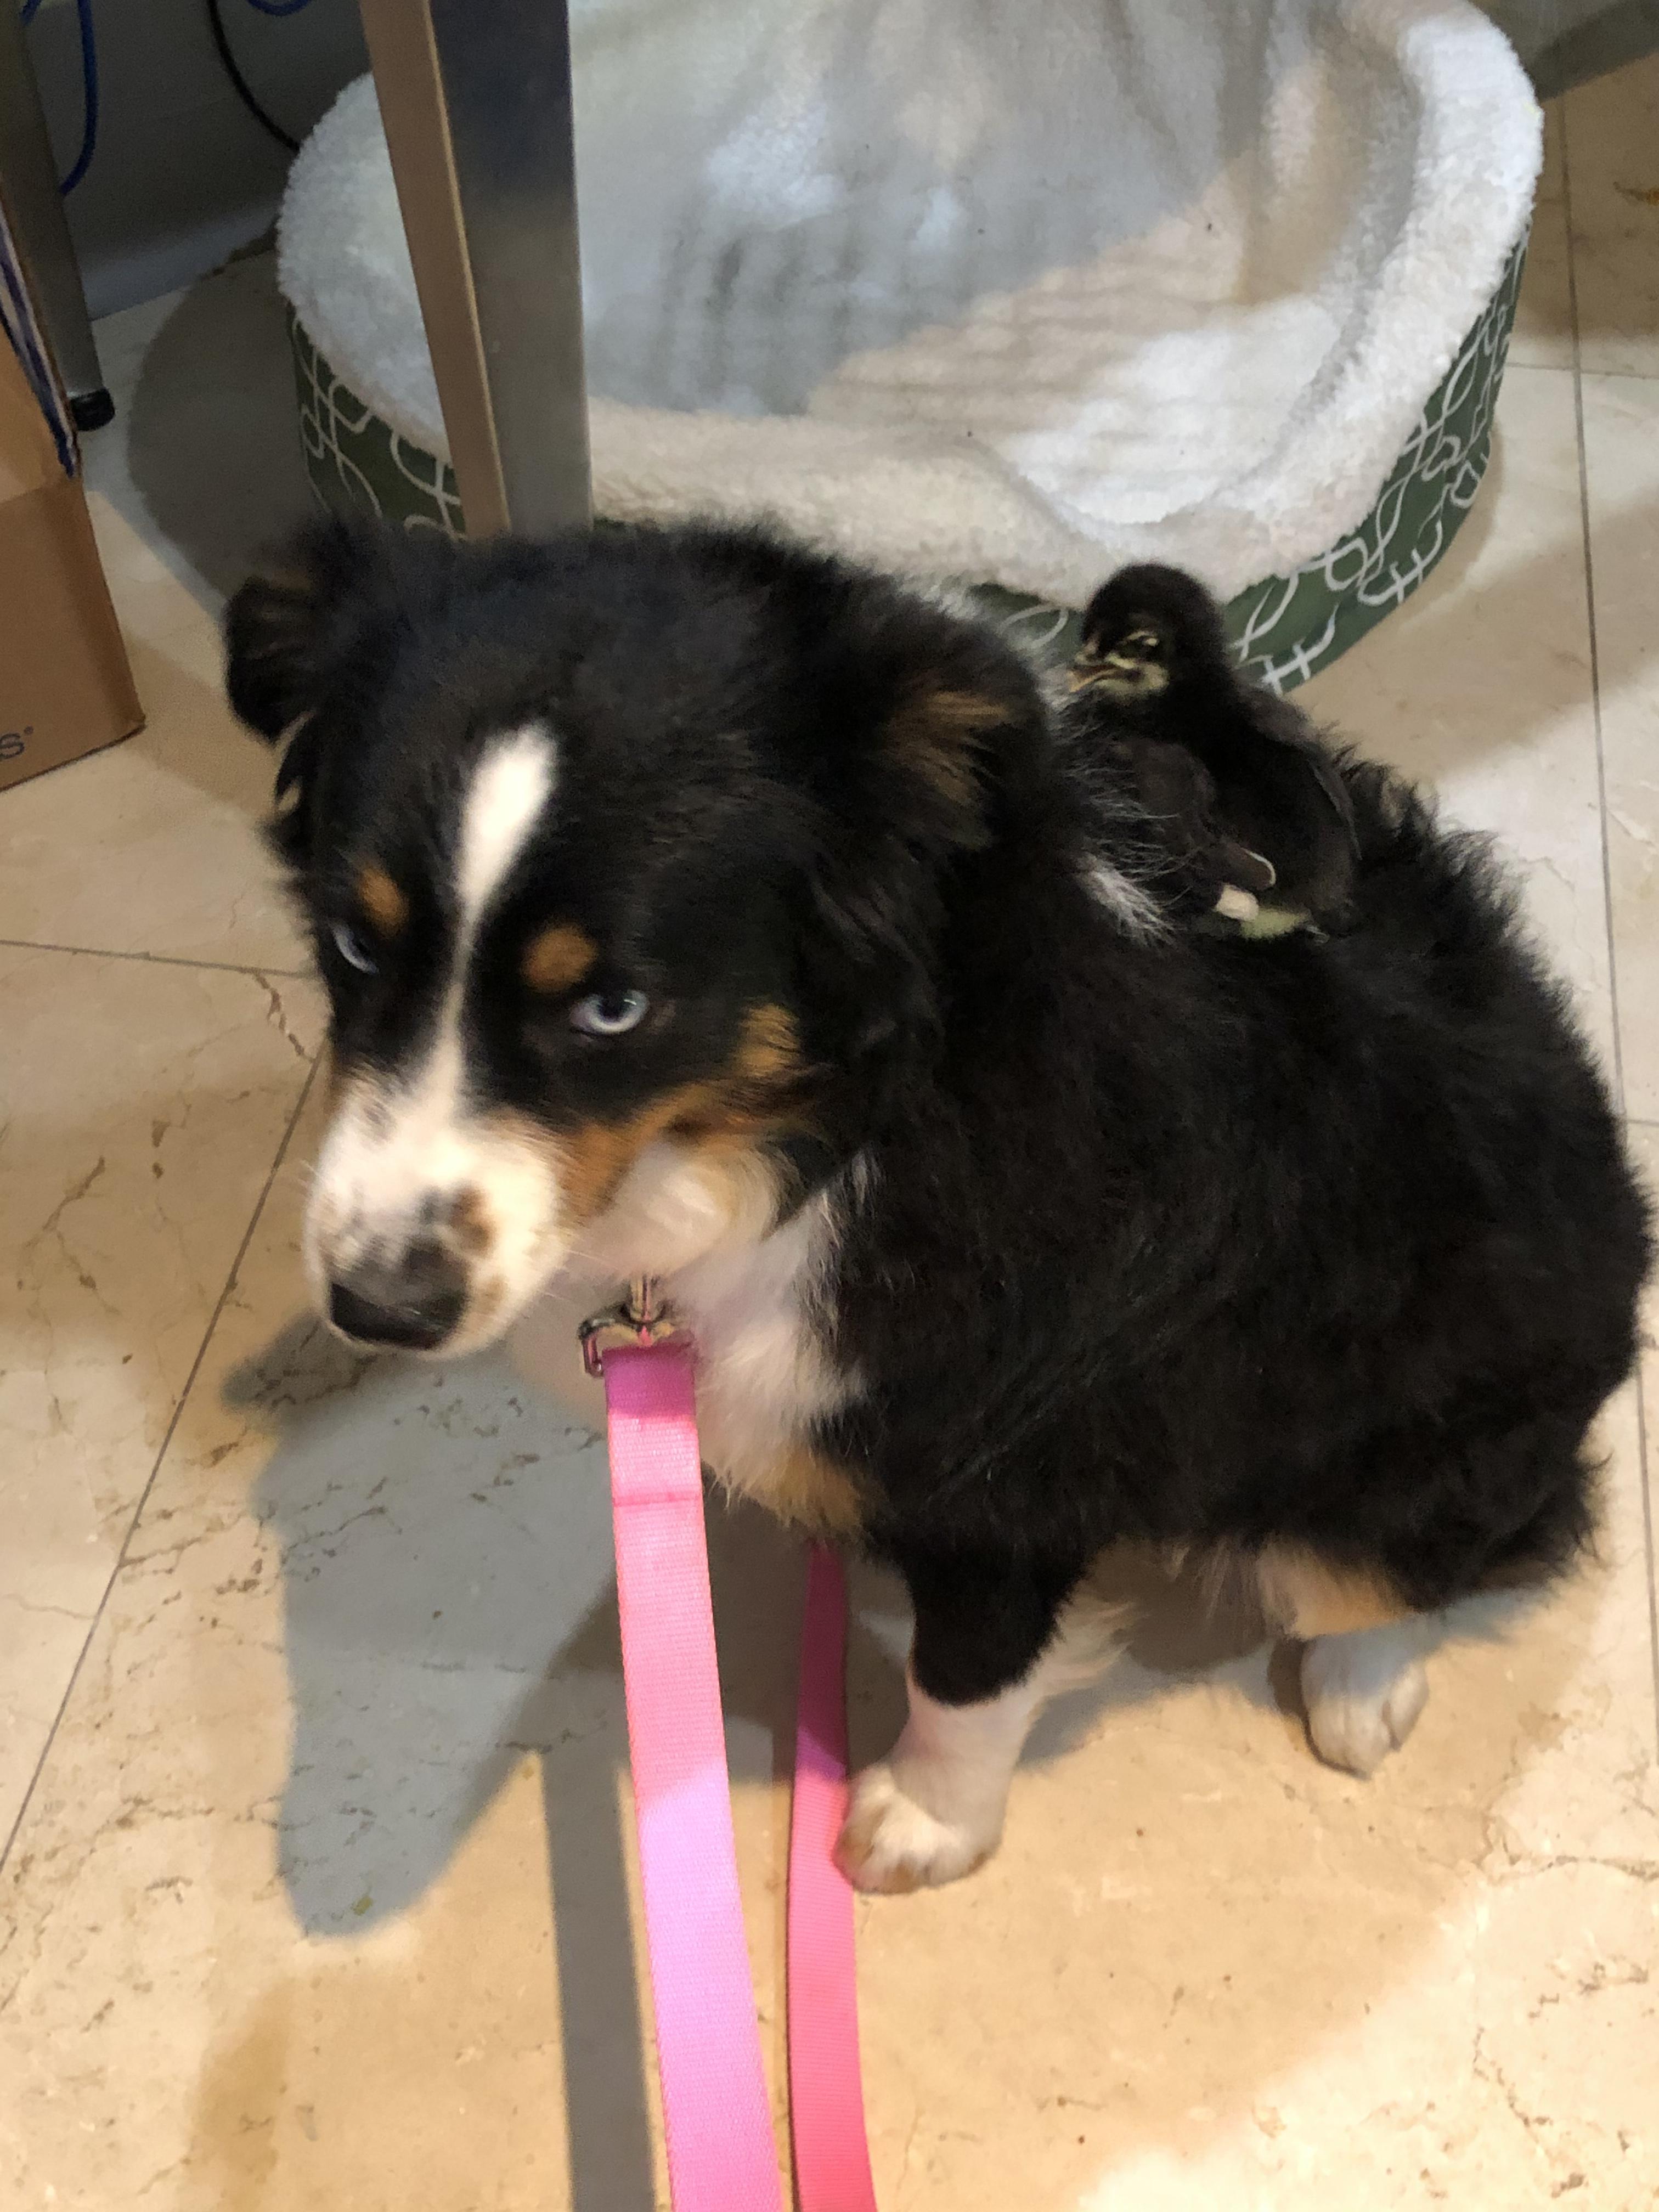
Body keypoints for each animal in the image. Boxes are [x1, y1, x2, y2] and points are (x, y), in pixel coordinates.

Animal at [226, 514, 1650, 1894]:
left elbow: (969, 1673)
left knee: (1409, 1573)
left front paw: (922, 1826)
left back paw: (1361, 1692)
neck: (806, 1136)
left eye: (614, 1006)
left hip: (1413, 1455)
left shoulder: (1019, 1463)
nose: (379, 1305)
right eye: (353, 943)